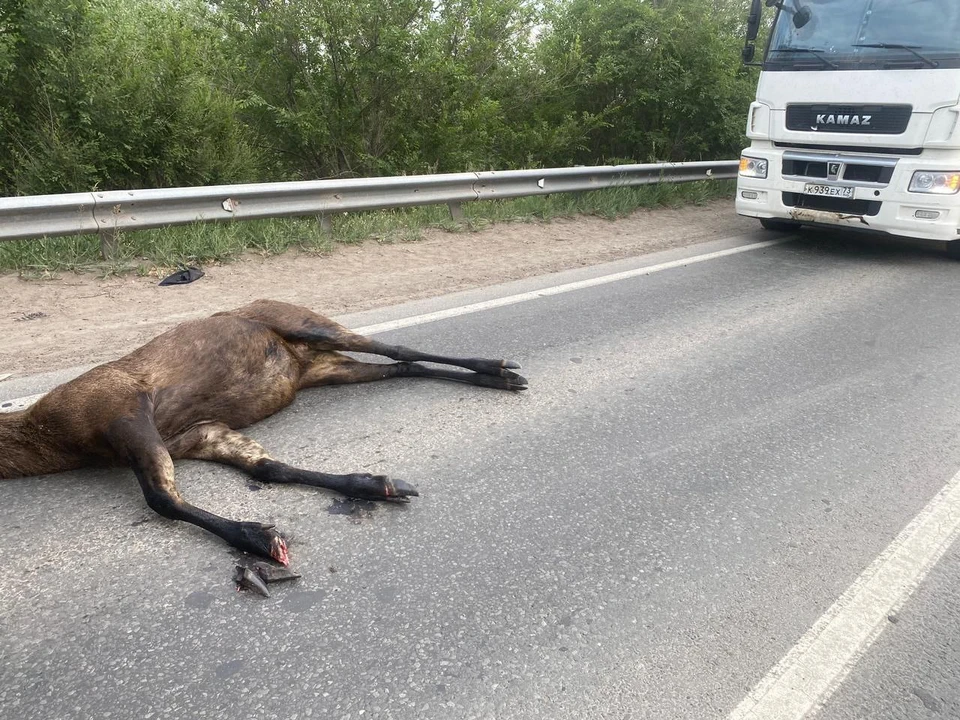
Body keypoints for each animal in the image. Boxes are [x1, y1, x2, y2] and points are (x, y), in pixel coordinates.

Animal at [0, 298, 524, 564]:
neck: (58, 443)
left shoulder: (125, 408)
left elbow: (161, 500)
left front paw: (257, 537)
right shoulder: (197, 434)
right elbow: (271, 468)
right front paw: (374, 484)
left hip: (311, 324)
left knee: (397, 347)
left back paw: (501, 369)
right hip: (326, 370)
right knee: (400, 366)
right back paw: (491, 378)